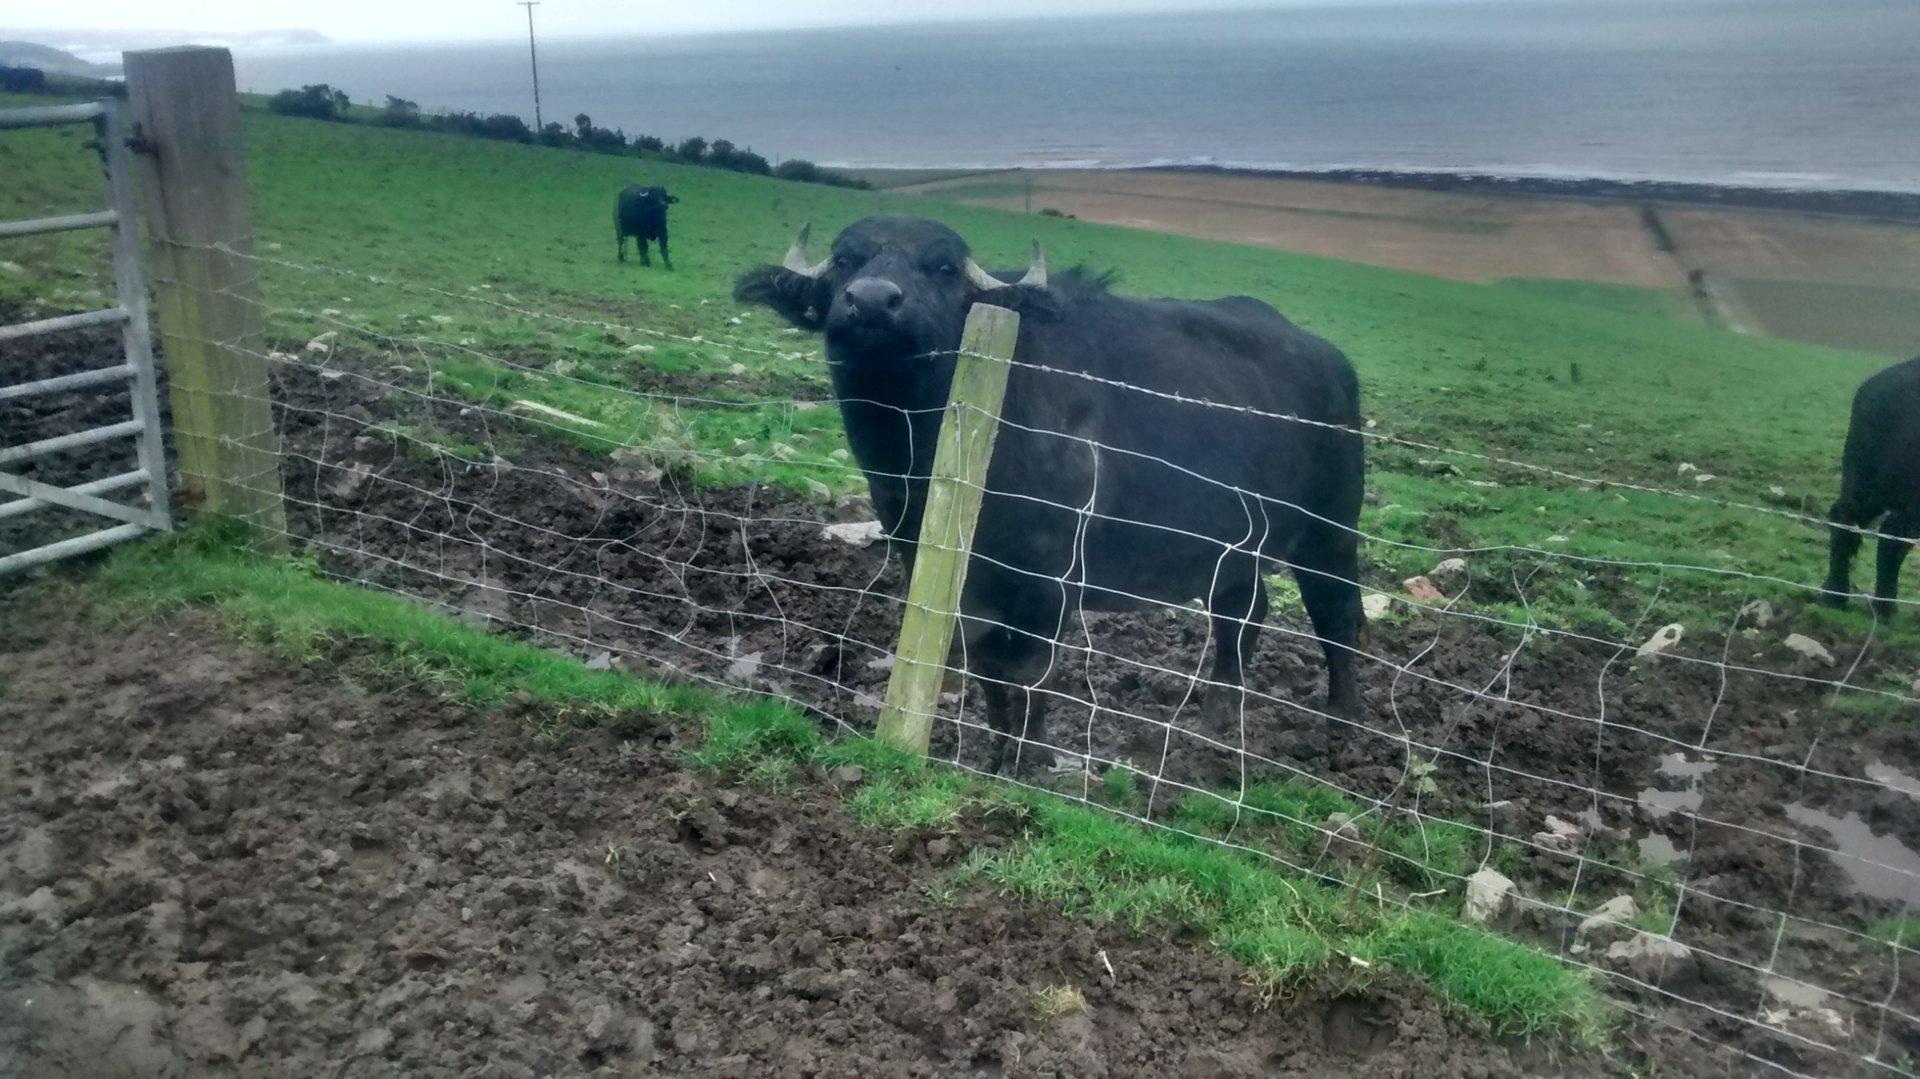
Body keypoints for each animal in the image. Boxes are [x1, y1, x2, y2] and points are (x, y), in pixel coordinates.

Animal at [734, 215, 1368, 773]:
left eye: (942, 267)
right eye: (846, 260)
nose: (870, 301)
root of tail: (1333, 363)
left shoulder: (1053, 579)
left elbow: (1034, 668)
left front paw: (1033, 756)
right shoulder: (943, 570)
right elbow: (987, 664)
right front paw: (997, 750)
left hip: (1330, 533)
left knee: (1338, 617)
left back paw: (1342, 726)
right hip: (1237, 551)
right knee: (1243, 614)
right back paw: (1215, 722)